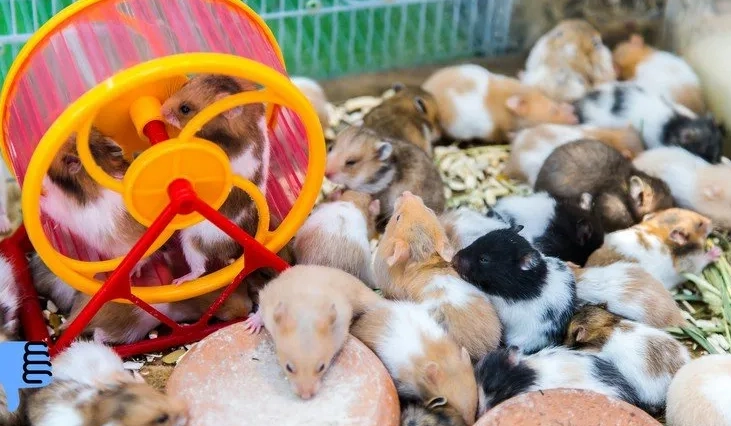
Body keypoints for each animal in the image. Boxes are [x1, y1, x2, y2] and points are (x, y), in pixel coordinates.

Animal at [161, 74, 270, 284]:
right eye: (185, 84)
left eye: (185, 109)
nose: (161, 110)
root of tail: (229, 253)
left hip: (191, 240)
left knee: (200, 268)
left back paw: (179, 281)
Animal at [242, 265, 382, 400]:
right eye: (288, 368)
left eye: (322, 367)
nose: (306, 397)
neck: (305, 309)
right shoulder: (269, 302)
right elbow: (260, 312)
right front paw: (249, 326)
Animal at [586, 208, 721, 290]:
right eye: (700, 224)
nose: (712, 221)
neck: (662, 230)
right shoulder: (691, 265)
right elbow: (703, 261)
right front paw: (717, 251)